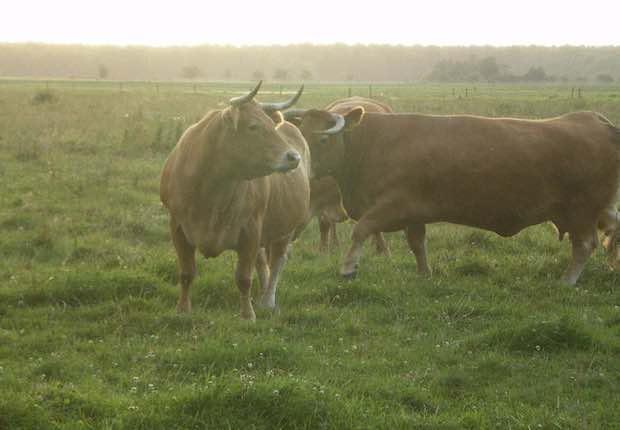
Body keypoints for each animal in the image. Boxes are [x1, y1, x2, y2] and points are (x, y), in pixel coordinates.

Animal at [160, 83, 310, 320]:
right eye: (253, 126)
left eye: (271, 126)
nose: (293, 157)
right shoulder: (177, 226)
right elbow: (186, 273)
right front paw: (183, 308)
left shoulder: (251, 230)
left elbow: (243, 278)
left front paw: (247, 315)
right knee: (263, 261)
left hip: (287, 228)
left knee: (278, 260)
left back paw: (268, 300)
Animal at [290, 107, 620, 284]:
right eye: (299, 136)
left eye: (322, 140)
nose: (298, 168)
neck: (372, 143)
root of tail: (596, 121)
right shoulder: (414, 212)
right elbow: (417, 244)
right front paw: (424, 273)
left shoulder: (392, 205)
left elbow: (361, 229)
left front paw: (348, 267)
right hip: (600, 208)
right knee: (612, 231)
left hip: (583, 210)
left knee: (585, 245)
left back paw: (567, 280)